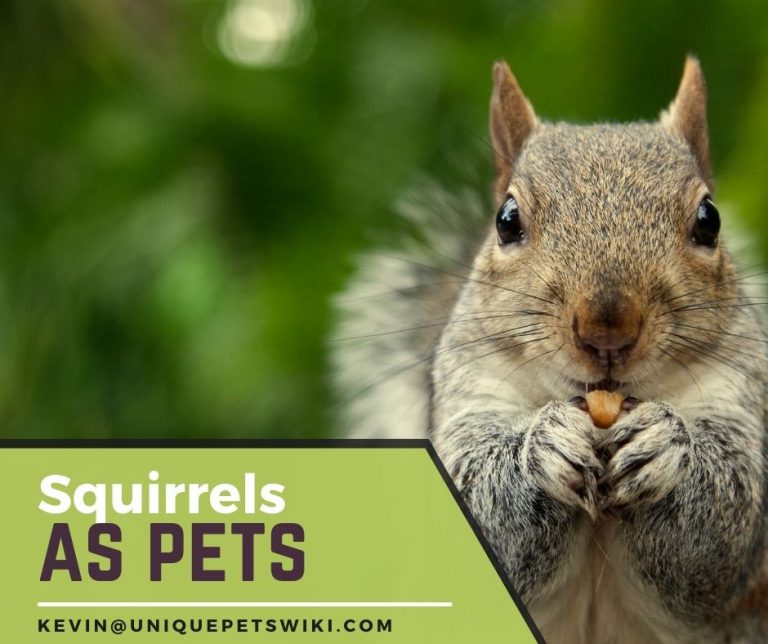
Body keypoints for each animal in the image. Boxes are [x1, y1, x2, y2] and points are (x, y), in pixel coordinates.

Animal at [332, 57, 768, 643]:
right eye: (506, 220)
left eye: (709, 220)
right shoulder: (469, 388)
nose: (607, 328)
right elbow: (481, 499)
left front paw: (664, 447)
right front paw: (541, 448)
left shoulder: (741, 394)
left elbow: (724, 526)